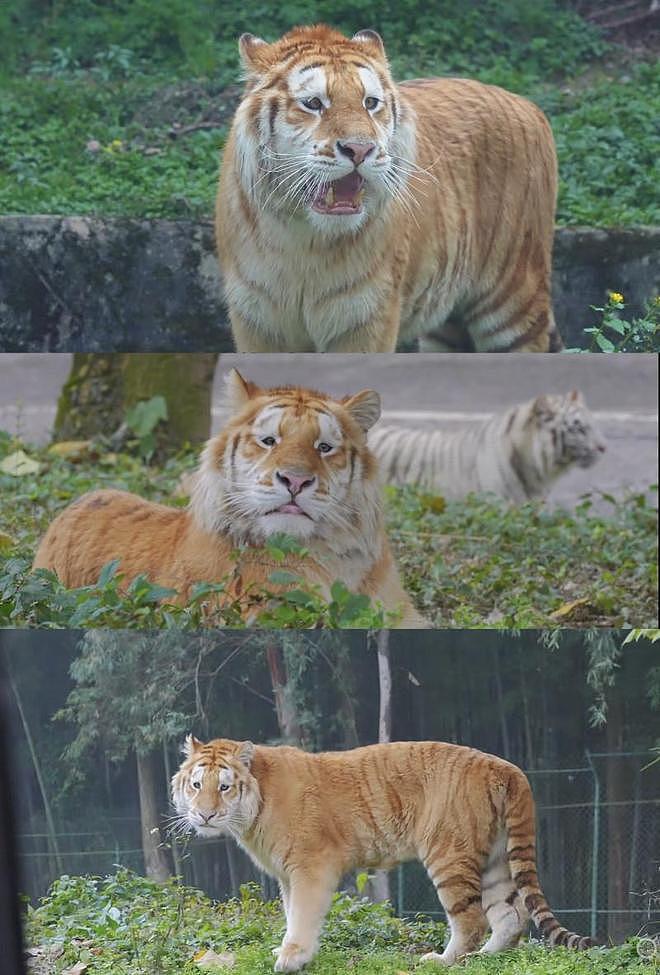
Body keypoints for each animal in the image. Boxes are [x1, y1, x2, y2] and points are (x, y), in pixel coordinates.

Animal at [172, 736, 595, 972]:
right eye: (196, 785)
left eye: (224, 787)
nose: (204, 814)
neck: (254, 808)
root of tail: (507, 767)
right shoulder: (287, 874)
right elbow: (292, 913)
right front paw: (290, 950)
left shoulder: (310, 865)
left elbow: (304, 915)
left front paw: (292, 959)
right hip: (494, 858)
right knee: (511, 915)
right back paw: (485, 960)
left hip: (449, 853)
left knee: (472, 919)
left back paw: (444, 962)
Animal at [216, 24, 560, 353]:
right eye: (313, 103)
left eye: (370, 103)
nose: (359, 149)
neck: (303, 241)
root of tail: (526, 102)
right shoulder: (256, 321)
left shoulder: (368, 317)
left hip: (513, 299)